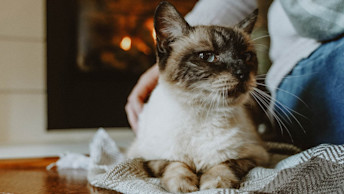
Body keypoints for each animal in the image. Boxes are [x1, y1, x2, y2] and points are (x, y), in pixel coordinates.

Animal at [126, 1, 268, 192]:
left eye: (246, 56)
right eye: (207, 56)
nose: (243, 73)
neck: (201, 111)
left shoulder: (255, 156)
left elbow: (223, 164)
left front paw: (214, 185)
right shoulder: (149, 157)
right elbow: (176, 164)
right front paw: (184, 185)